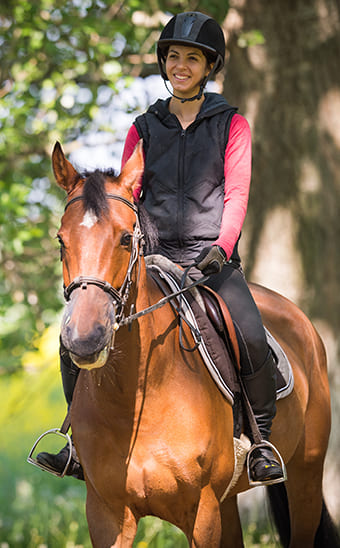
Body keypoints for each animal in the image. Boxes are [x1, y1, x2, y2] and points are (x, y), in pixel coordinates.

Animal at [51, 141, 338, 548]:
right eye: (62, 240)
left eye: (126, 238)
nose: (84, 337)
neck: (138, 394)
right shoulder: (107, 516)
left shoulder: (201, 513)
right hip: (228, 501)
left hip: (305, 476)